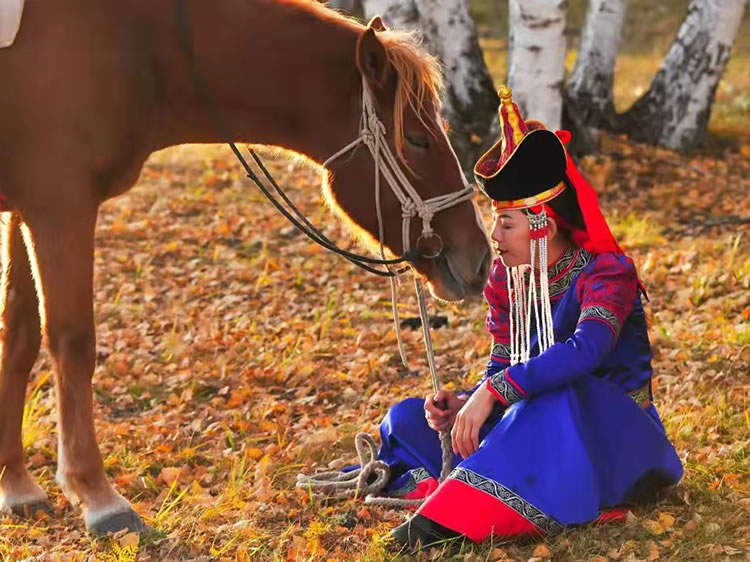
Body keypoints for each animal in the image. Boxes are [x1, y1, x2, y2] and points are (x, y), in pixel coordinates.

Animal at [0, 0, 494, 532]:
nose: (481, 258)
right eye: (418, 139)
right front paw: (97, 495)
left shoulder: (25, 211)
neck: (139, 42)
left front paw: (16, 484)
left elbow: (18, 338)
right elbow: (72, 343)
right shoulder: (59, 207)